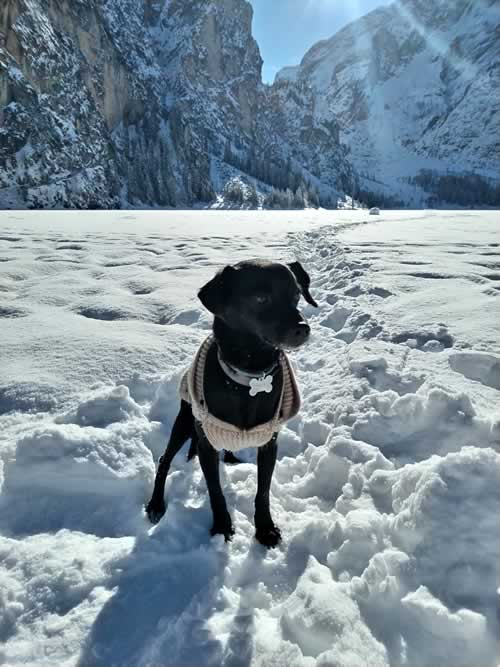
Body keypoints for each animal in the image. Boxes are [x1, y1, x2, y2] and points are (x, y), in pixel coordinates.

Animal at [145, 260, 316, 548]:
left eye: (296, 295)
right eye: (261, 298)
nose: (303, 328)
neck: (249, 377)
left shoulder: (269, 443)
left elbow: (263, 491)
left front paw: (265, 528)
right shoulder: (206, 442)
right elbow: (215, 490)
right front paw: (222, 527)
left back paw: (232, 458)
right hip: (184, 421)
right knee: (164, 460)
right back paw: (156, 504)